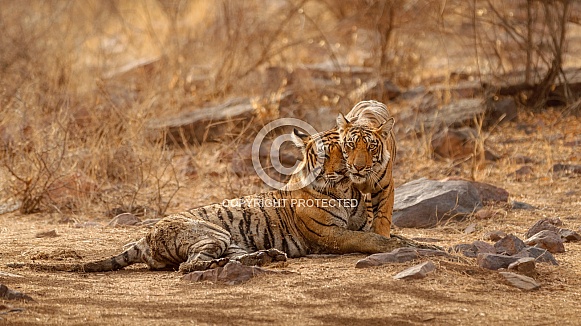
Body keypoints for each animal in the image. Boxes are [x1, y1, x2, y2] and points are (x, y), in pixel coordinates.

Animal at [336, 99, 394, 237]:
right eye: (351, 144)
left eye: (371, 147)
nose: (358, 167)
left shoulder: (386, 187)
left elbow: (383, 215)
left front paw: (382, 235)